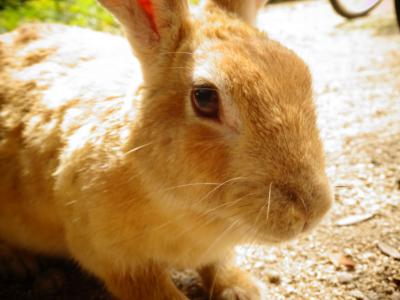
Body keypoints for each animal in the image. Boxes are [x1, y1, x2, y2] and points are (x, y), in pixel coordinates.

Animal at [0, 0, 332, 300]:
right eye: (204, 97)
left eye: (302, 73)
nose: (312, 211)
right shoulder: (118, 260)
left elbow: (219, 265)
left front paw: (243, 291)